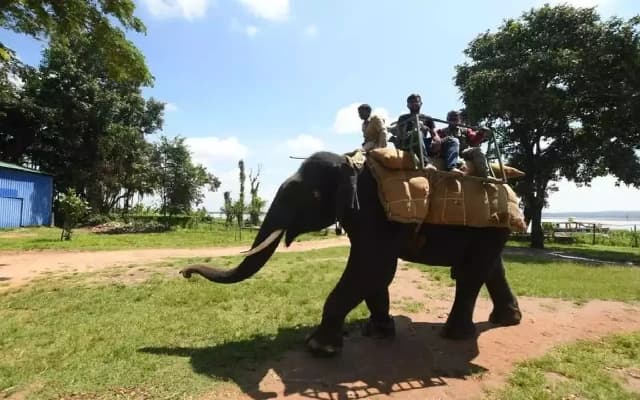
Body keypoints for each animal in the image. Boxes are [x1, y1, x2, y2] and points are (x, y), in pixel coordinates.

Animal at [180, 151, 522, 357]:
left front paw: (318, 347)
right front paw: (378, 333)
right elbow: (375, 274)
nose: (184, 273)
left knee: (470, 274)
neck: (350, 163)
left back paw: (455, 335)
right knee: (492, 267)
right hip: (490, 231)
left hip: (491, 226)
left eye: (307, 195)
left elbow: (373, 267)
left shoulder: (375, 213)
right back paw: (507, 319)